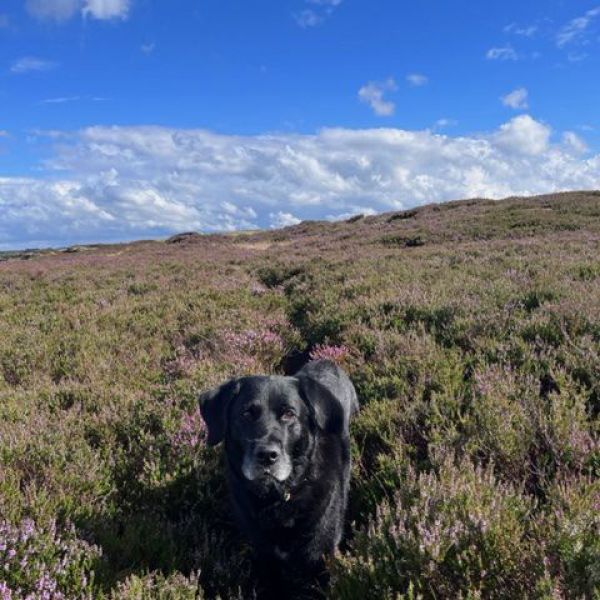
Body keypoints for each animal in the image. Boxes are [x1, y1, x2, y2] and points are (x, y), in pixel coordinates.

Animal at [202, 358, 358, 596]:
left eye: (289, 414)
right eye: (246, 414)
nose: (267, 455)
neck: (278, 498)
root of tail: (327, 360)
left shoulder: (320, 558)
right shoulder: (265, 556)